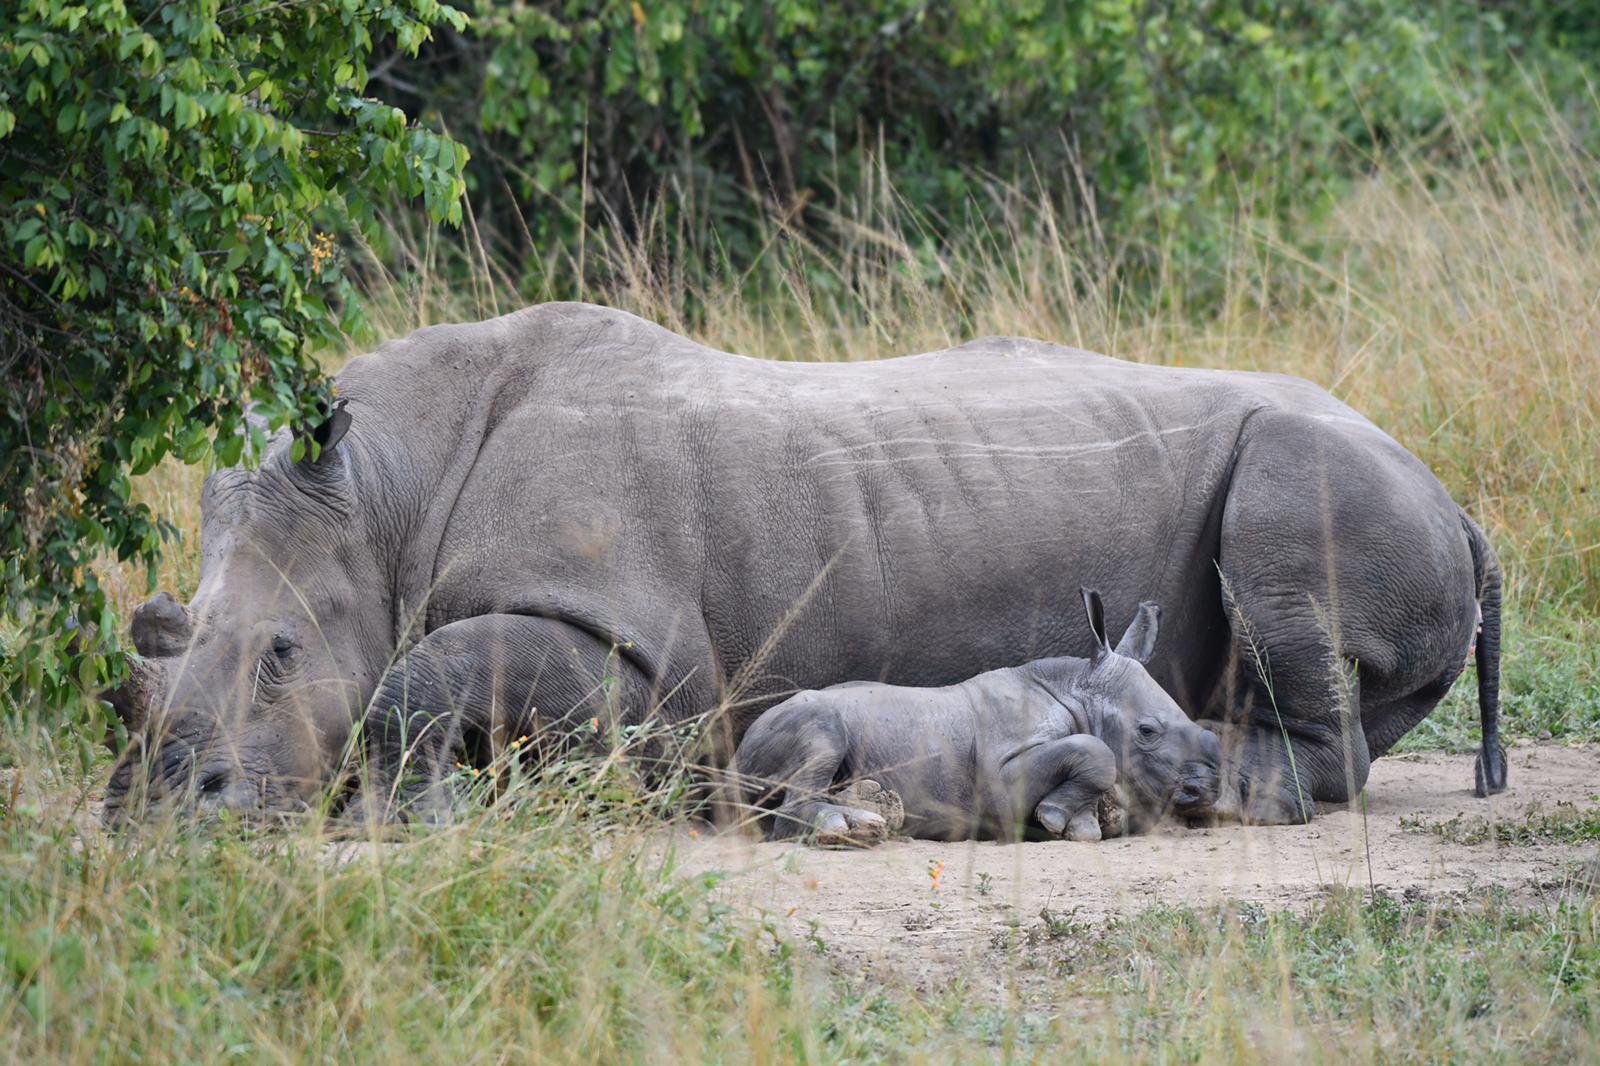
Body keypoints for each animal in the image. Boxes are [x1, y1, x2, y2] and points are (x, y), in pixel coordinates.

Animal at [733, 590, 1222, 844]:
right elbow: (1097, 751)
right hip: (795, 722)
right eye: (1147, 732)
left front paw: (1080, 825)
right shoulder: (1000, 776)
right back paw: (853, 828)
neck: (1077, 689)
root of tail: (734, 759)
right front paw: (1058, 818)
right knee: (823, 736)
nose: (1207, 791)